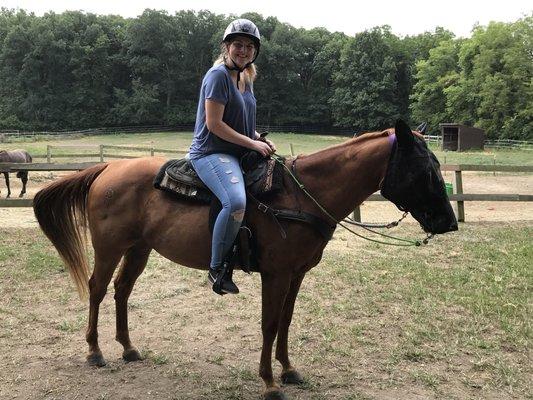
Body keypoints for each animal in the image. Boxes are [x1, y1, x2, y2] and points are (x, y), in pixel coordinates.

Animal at [33, 120, 458, 400]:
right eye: (423, 168)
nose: (449, 222)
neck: (300, 196)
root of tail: (107, 167)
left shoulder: (296, 275)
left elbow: (286, 322)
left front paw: (289, 370)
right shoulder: (276, 274)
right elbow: (269, 324)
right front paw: (269, 382)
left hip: (139, 248)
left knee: (121, 291)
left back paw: (128, 348)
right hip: (110, 248)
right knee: (97, 289)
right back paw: (95, 352)